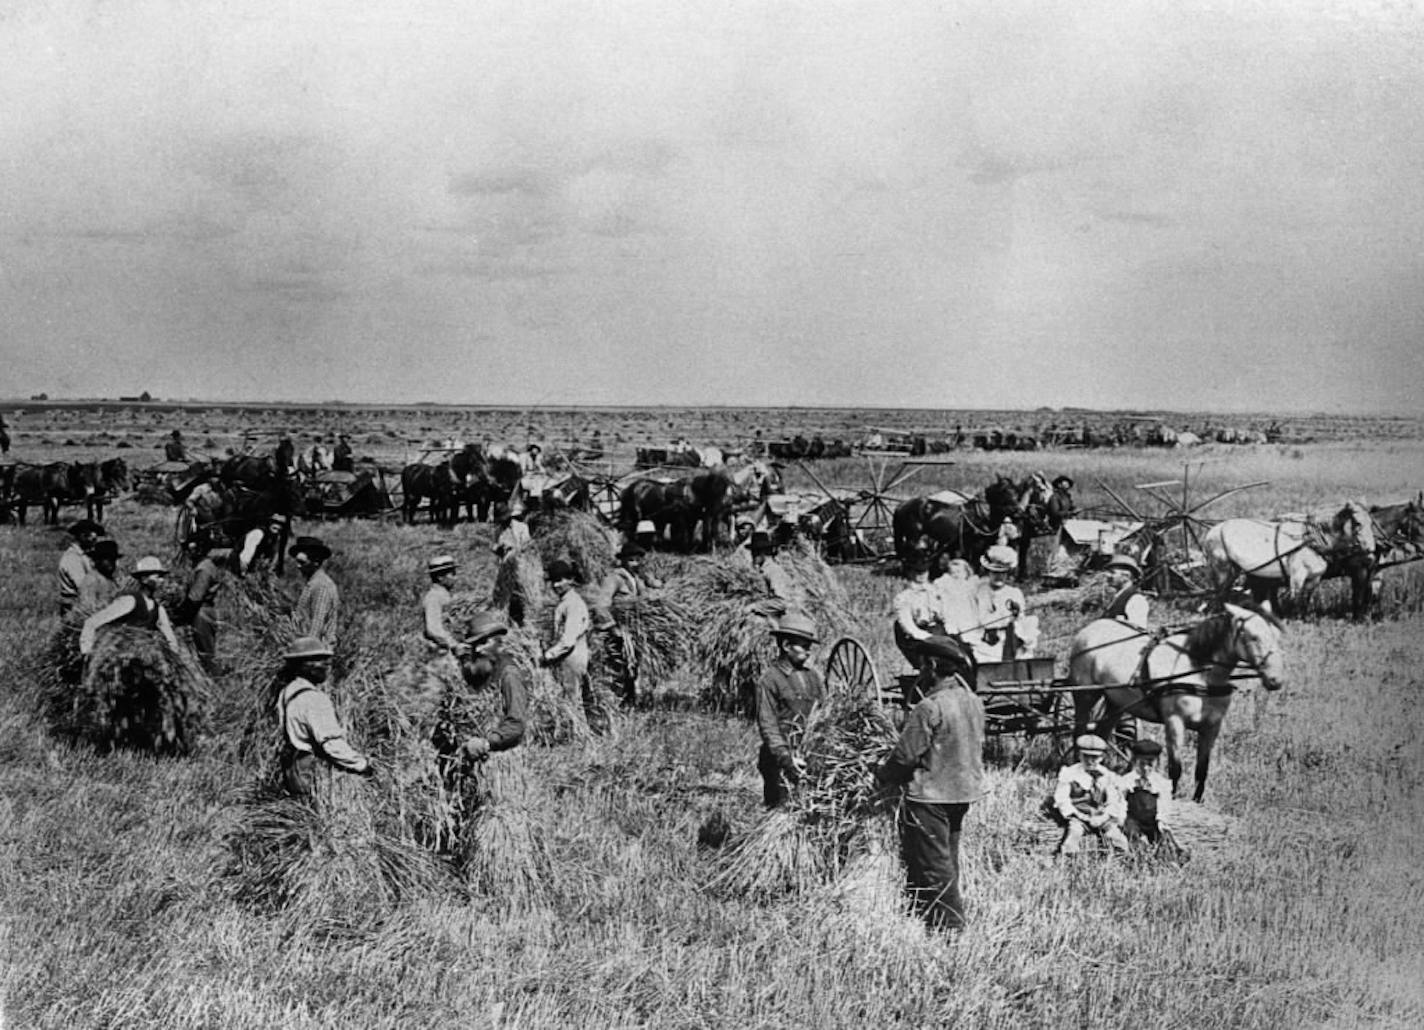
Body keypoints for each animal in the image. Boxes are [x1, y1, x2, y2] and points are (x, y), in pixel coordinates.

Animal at [888, 478, 1025, 566]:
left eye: (1017, 493)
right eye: (1004, 492)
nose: (1020, 513)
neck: (982, 516)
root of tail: (901, 505)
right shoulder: (975, 546)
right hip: (913, 537)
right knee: (907, 553)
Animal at [1070, 604, 1292, 803]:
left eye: (1277, 637)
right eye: (1253, 637)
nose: (1276, 680)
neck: (1199, 674)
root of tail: (1088, 629)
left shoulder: (1212, 727)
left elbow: (1202, 770)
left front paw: (1196, 801)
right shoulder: (1174, 722)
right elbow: (1175, 768)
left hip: (1115, 703)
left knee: (1100, 734)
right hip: (1085, 696)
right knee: (1079, 733)